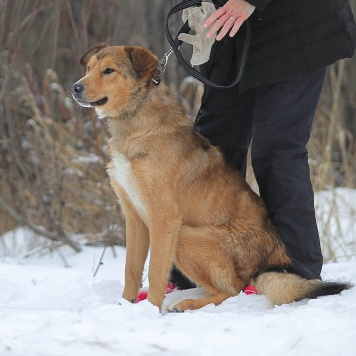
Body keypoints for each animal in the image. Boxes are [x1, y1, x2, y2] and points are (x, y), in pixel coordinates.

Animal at [71, 43, 352, 312]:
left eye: (109, 71)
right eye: (89, 68)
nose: (74, 88)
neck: (135, 117)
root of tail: (266, 265)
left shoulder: (163, 218)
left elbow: (155, 272)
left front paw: (149, 311)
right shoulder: (134, 216)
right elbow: (131, 269)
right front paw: (125, 306)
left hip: (185, 237)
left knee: (231, 290)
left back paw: (186, 304)